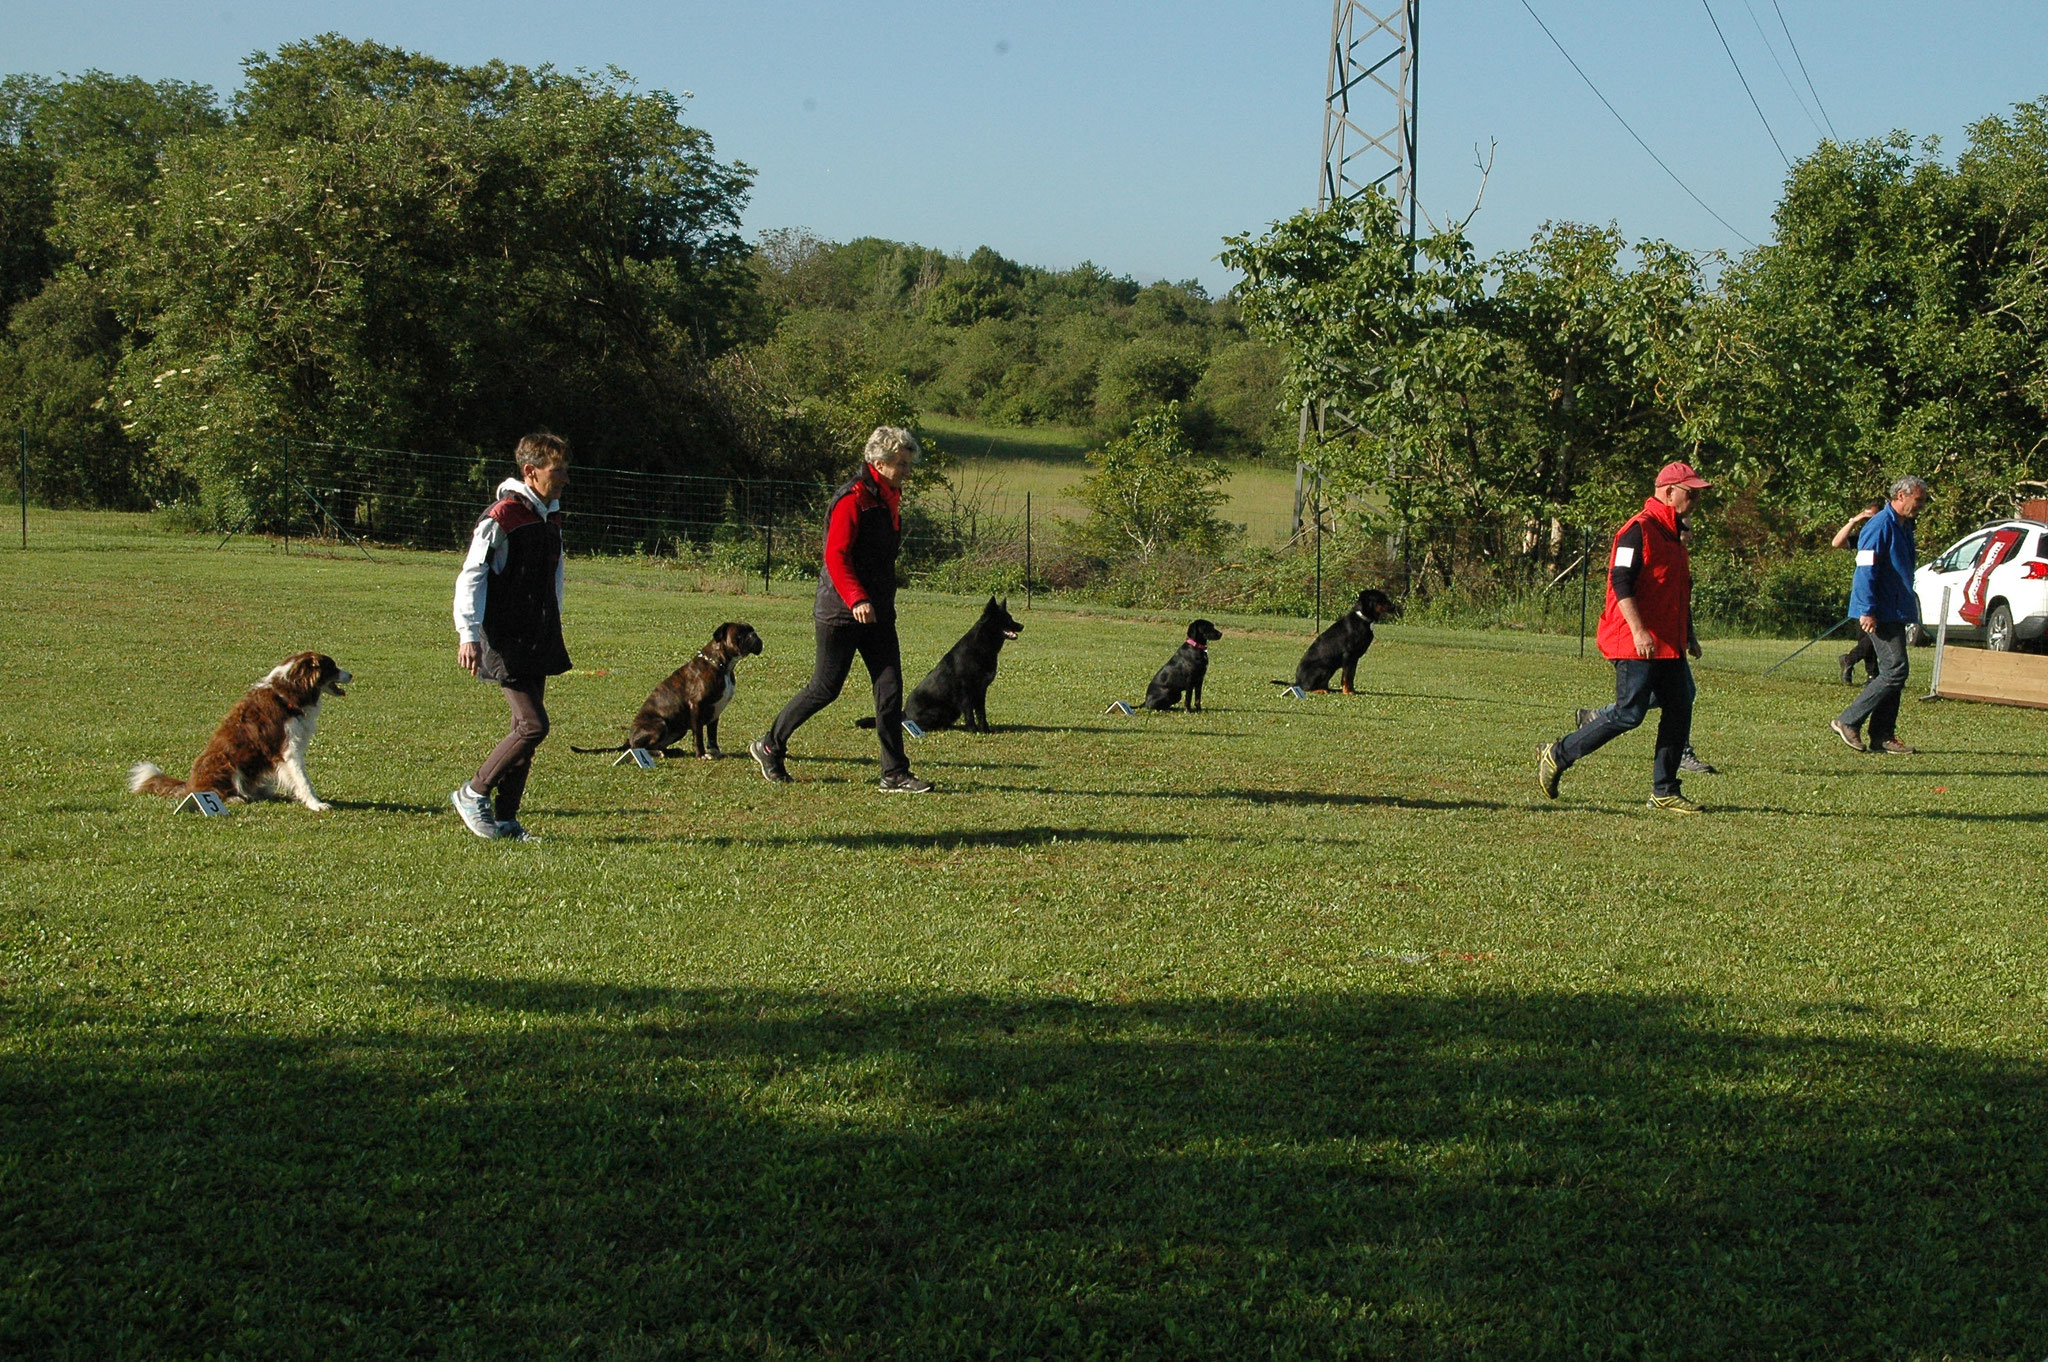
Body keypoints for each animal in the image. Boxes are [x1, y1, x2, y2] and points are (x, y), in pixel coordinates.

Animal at [128, 647, 354, 806]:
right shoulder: (288, 749)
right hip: (226, 761)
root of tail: (189, 785)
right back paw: (233, 798)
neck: (289, 692)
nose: (352, 674)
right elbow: (303, 780)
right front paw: (316, 804)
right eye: (332, 666)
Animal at [573, 622, 765, 757]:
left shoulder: (715, 713)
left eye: (751, 630)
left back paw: (673, 751)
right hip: (660, 723)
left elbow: (712, 735)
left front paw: (715, 752)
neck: (722, 665)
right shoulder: (697, 706)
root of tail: (629, 738)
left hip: (678, 730)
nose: (755, 635)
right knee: (639, 748)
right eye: (740, 634)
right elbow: (699, 735)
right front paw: (702, 755)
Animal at [856, 593, 1024, 733]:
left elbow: (981, 713)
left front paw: (985, 730)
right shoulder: (966, 691)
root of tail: (905, 715)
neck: (982, 645)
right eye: (1007, 619)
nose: (1022, 626)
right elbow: (970, 713)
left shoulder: (981, 690)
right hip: (938, 711)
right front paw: (973, 730)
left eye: (1011, 617)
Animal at [1269, 585, 1400, 692]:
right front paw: (1348, 692)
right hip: (1324, 668)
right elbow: (1347, 677)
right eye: (1381, 599)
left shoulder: (1354, 658)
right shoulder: (1348, 655)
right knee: (1307, 688)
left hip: (1330, 670)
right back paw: (1321, 691)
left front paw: (1352, 691)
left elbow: (1351, 676)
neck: (1363, 619)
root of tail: (1296, 682)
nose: (1394, 607)